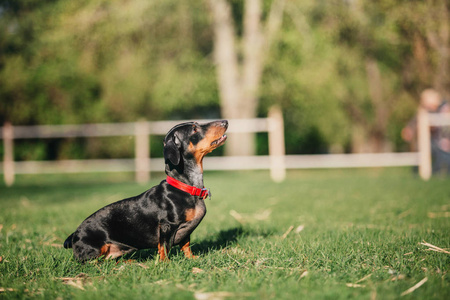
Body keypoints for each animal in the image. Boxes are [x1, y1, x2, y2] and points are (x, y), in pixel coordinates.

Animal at [63, 120, 229, 262]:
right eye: (194, 129)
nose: (225, 122)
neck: (186, 187)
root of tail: (74, 235)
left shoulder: (186, 233)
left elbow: (186, 245)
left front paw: (191, 258)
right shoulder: (167, 226)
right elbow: (164, 247)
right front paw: (165, 263)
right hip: (95, 250)